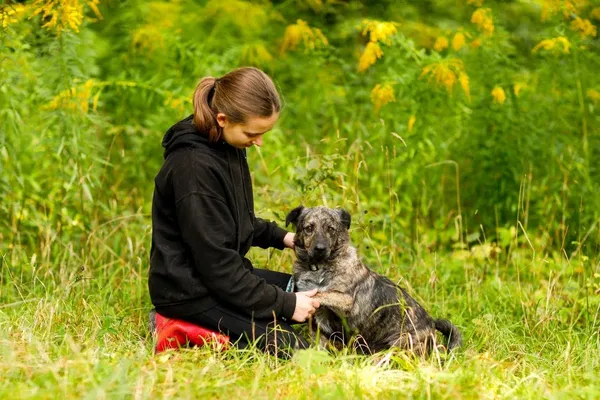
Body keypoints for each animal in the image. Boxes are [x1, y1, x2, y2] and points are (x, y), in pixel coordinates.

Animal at [284, 205, 462, 354]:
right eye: (309, 228)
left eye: (331, 229)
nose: (320, 249)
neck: (318, 267)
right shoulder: (317, 329)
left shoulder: (345, 300)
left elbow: (319, 294)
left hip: (399, 345)